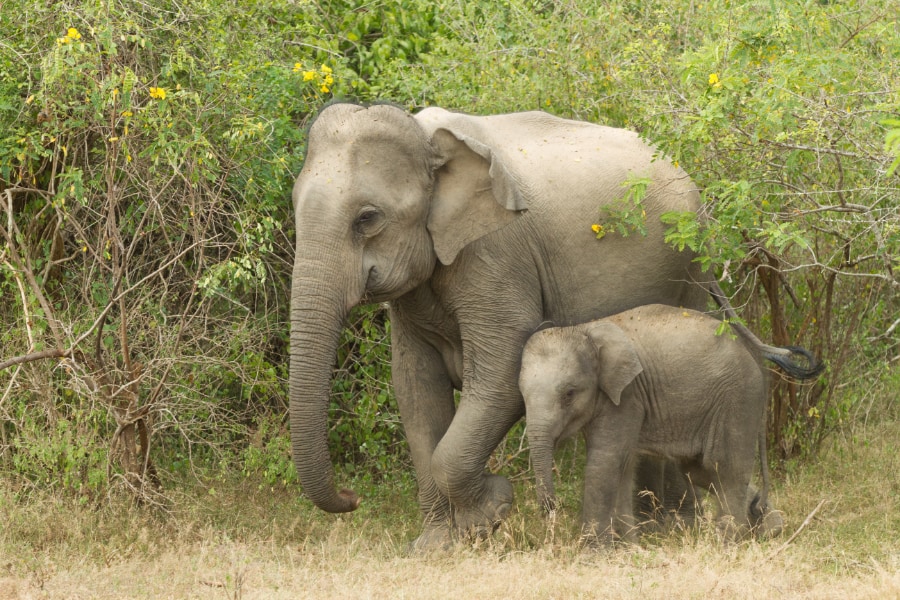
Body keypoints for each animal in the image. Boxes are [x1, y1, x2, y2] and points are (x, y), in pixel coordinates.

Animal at [292, 103, 712, 548]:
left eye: (368, 218)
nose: (352, 497)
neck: (429, 140)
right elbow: (415, 390)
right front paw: (436, 545)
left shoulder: (496, 254)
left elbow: (502, 377)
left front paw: (489, 514)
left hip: (692, 266)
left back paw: (671, 527)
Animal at [516, 304, 784, 544]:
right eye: (522, 395)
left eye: (569, 394)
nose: (551, 508)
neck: (585, 329)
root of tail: (755, 358)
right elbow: (622, 467)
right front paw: (628, 548)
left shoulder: (627, 396)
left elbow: (605, 462)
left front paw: (594, 555)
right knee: (699, 470)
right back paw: (767, 527)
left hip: (739, 399)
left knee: (724, 467)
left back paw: (728, 543)